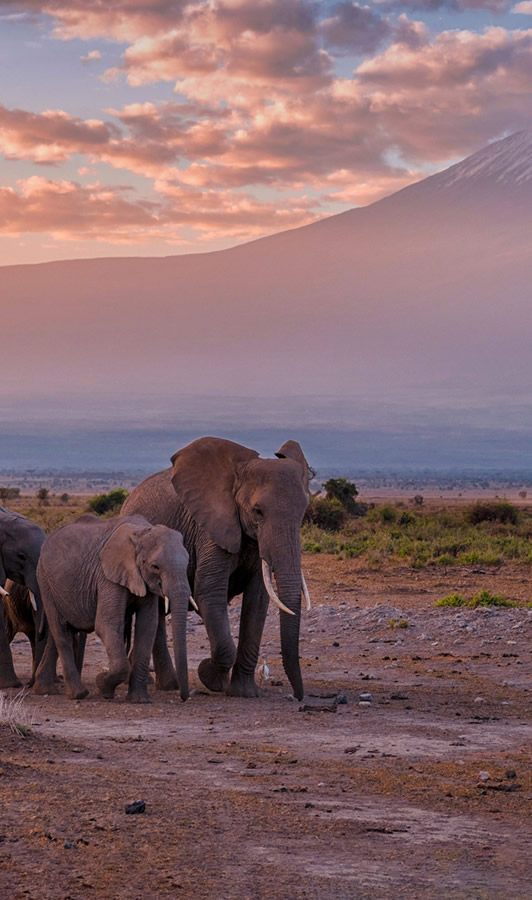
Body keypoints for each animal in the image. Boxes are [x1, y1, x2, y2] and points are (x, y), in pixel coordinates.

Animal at [33, 512, 191, 704]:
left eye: (188, 563)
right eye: (155, 566)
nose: (184, 697)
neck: (141, 532)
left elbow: (147, 627)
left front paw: (140, 700)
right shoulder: (107, 575)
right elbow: (106, 624)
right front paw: (102, 685)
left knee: (57, 633)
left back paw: (44, 690)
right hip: (45, 582)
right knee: (61, 632)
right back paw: (78, 694)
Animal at [120, 436, 312, 704]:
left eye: (304, 512)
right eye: (258, 511)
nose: (299, 696)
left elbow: (258, 600)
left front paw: (245, 693)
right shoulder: (210, 528)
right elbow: (210, 592)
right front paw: (210, 676)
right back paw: (169, 685)